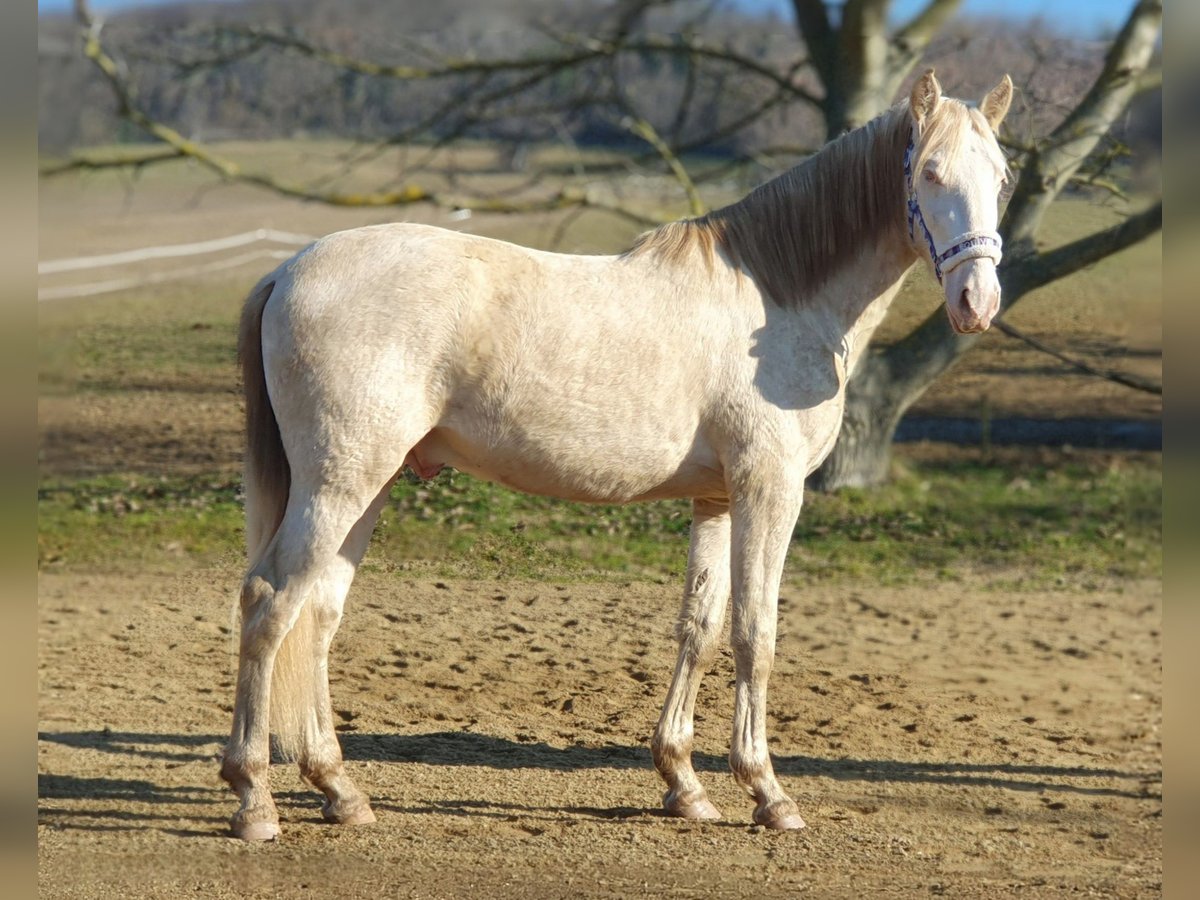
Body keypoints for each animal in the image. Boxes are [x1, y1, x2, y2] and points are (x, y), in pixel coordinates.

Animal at [220, 68, 1008, 840]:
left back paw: (338, 790)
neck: (779, 299)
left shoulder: (717, 498)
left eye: (1000, 178)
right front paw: (768, 792)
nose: (977, 300)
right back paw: (254, 799)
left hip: (368, 484)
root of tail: (288, 271)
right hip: (339, 483)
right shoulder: (770, 489)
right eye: (930, 171)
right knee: (271, 602)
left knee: (318, 614)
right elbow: (756, 633)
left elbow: (700, 627)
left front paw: (684, 784)